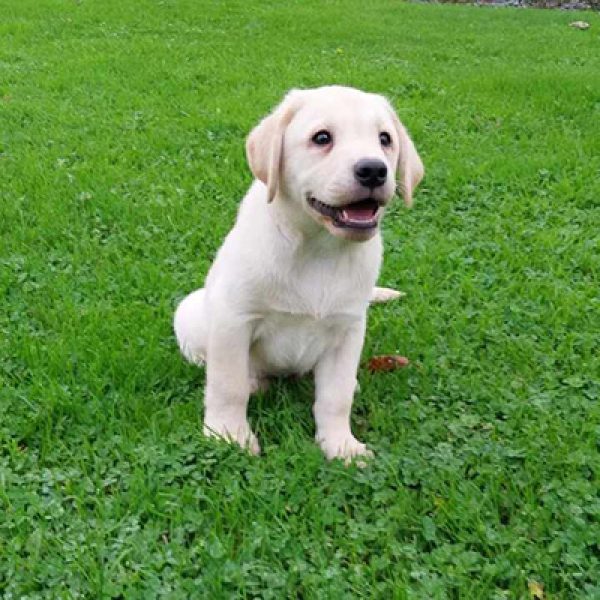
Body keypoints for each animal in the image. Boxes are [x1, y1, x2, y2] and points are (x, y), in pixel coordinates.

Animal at [176, 85, 424, 460]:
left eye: (385, 139)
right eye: (322, 138)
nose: (373, 170)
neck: (319, 249)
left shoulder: (348, 330)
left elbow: (336, 397)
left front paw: (341, 444)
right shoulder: (235, 317)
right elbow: (227, 385)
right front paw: (228, 435)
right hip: (190, 311)